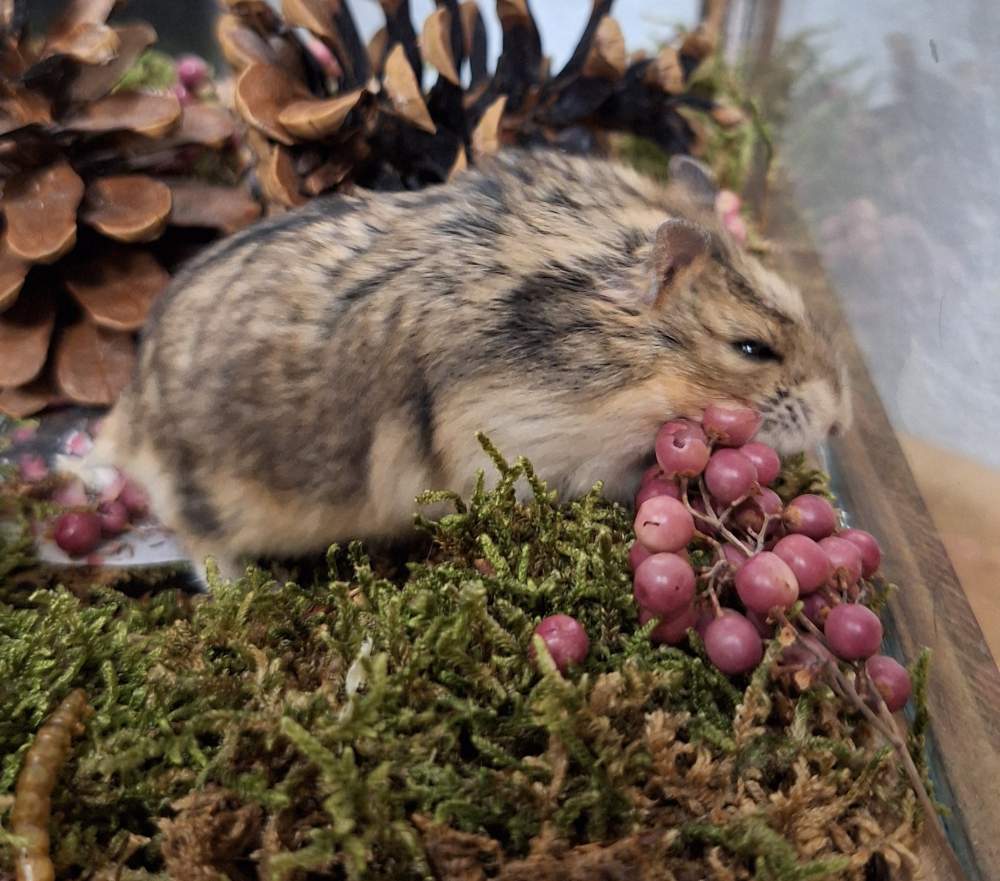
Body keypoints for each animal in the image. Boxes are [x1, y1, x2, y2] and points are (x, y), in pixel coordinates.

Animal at [92, 150, 852, 584]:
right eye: (753, 349)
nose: (840, 426)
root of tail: (124, 417)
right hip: (210, 498)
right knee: (202, 550)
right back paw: (256, 587)